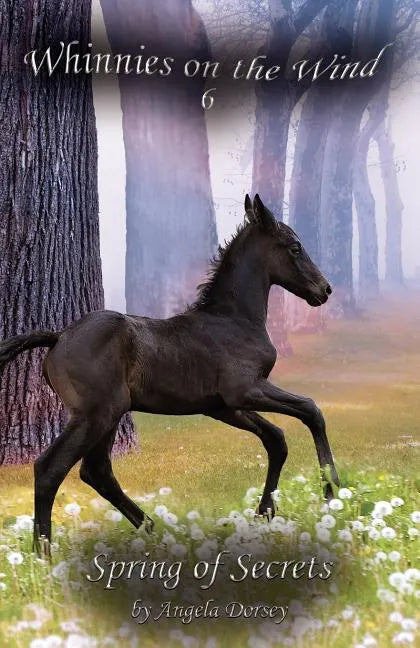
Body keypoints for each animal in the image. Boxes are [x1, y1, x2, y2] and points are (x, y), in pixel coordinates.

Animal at [0, 194, 339, 553]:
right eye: (295, 247)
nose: (325, 289)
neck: (233, 320)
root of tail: (59, 335)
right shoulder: (246, 390)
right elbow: (311, 410)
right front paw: (331, 490)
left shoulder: (222, 406)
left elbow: (276, 438)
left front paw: (265, 512)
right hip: (96, 414)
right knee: (51, 468)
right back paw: (44, 553)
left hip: (110, 414)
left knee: (97, 470)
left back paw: (153, 529)